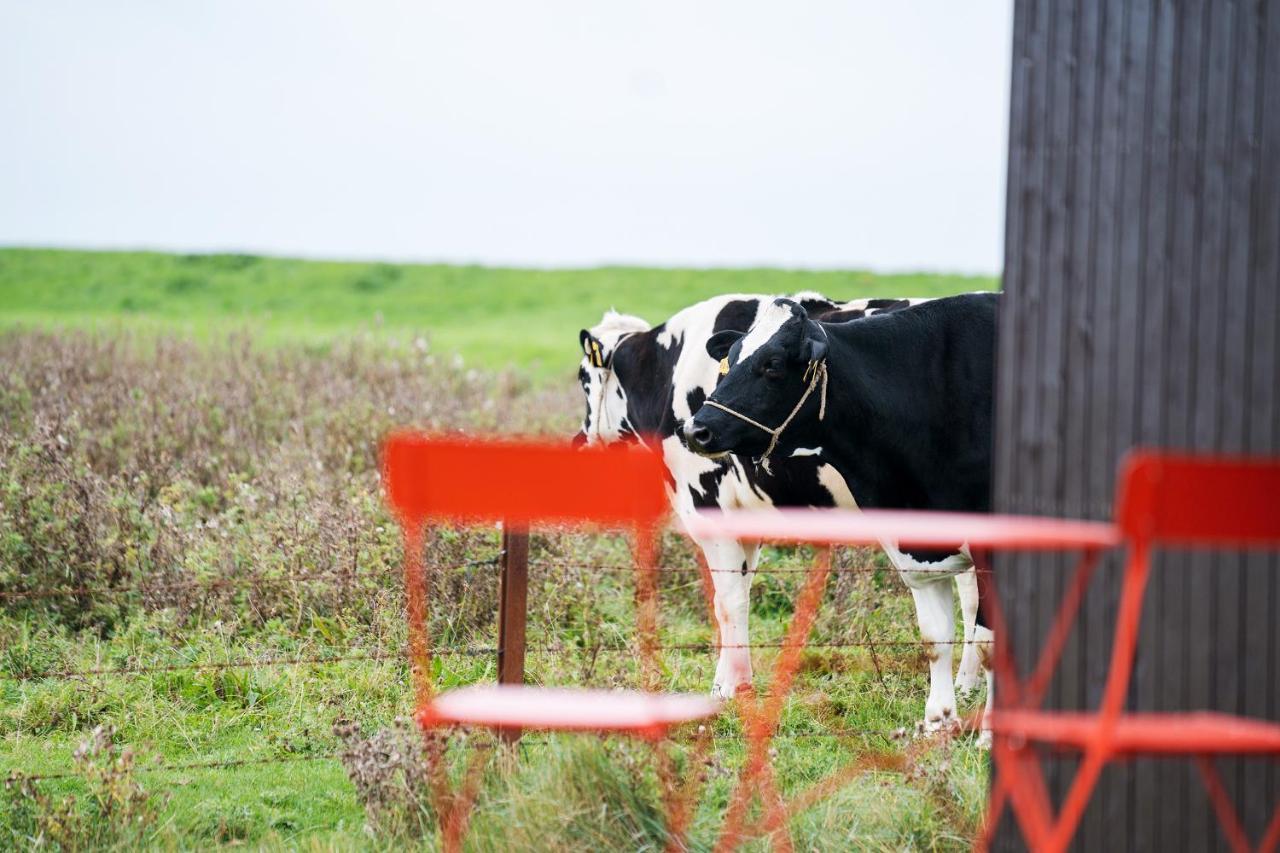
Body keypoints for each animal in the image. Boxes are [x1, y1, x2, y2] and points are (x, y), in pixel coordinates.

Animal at [576, 292, 983, 712]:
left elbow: (727, 602)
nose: (579, 440)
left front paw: (732, 690)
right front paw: (725, 684)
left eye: (583, 380)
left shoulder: (706, 504)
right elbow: (739, 593)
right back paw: (966, 686)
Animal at [686, 294, 1003, 737]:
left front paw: (991, 734)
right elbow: (935, 639)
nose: (696, 429)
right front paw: (937, 723)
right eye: (728, 361)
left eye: (772, 365)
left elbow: (991, 643)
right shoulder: (919, 546)